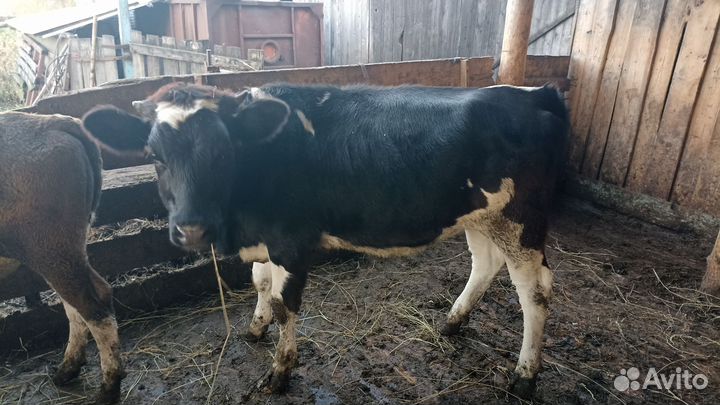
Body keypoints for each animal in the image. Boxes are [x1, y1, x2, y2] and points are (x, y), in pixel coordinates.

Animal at [0, 112, 124, 404]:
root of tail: (54, 122)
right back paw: (67, 369)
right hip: (63, 252)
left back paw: (108, 387)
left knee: (92, 305)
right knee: (77, 304)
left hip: (50, 248)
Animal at [82, 81, 569, 398]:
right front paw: (255, 328)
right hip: (482, 216)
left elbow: (284, 304)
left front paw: (280, 371)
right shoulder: (265, 241)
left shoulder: (292, 241)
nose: (192, 228)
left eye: (222, 152)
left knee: (535, 292)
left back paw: (525, 375)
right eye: (154, 155)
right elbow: (259, 282)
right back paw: (453, 321)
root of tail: (534, 93)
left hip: (521, 219)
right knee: (485, 264)